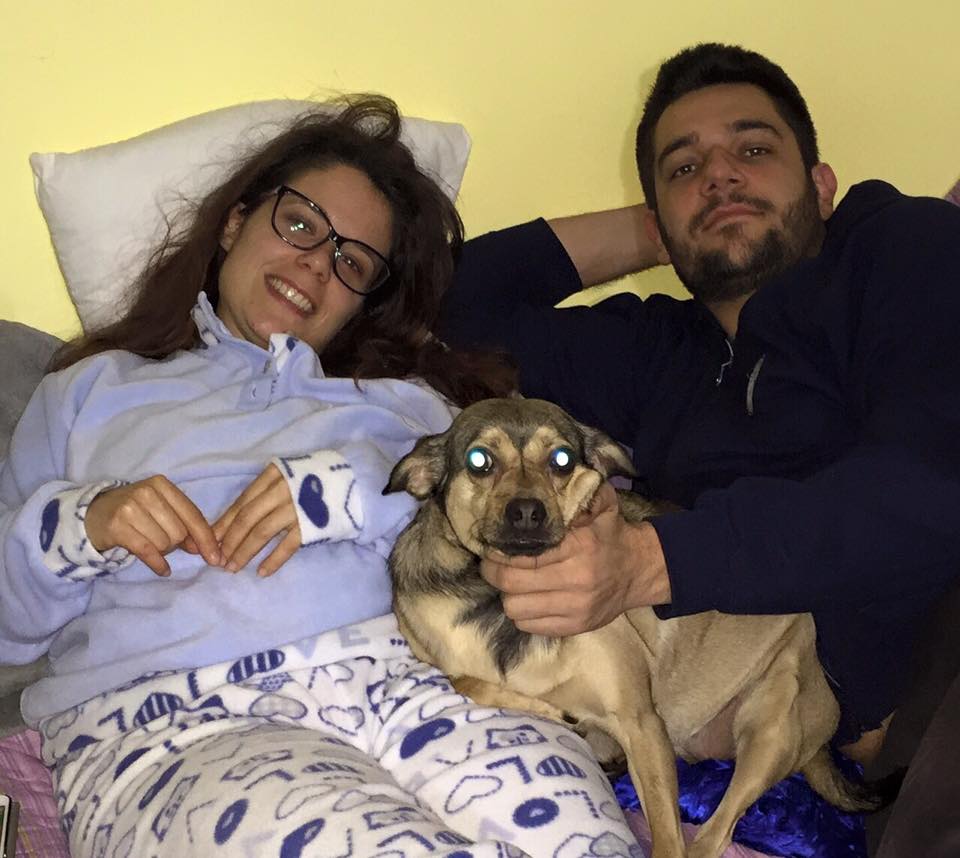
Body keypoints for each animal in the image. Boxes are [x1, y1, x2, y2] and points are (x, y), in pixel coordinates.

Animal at [385, 397, 890, 858]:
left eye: (561, 459)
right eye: (479, 461)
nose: (527, 511)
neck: (502, 601)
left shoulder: (643, 725)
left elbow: (667, 839)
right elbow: (465, 680)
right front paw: (554, 713)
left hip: (772, 721)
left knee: (713, 835)